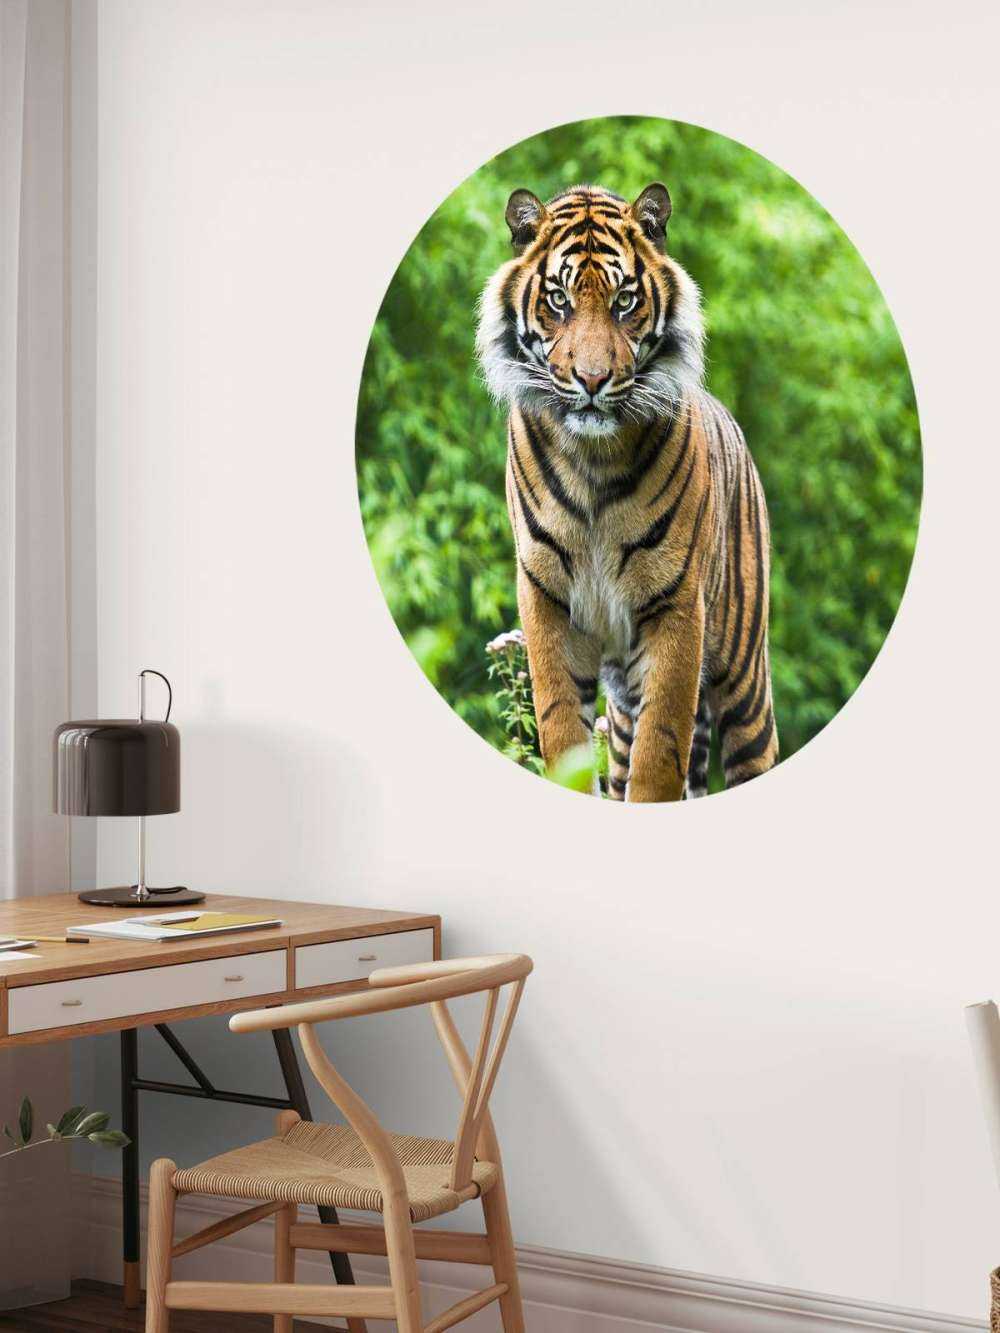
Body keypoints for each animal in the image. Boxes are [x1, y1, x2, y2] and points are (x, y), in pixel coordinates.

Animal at [476, 181, 778, 801]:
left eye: (623, 301)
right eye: (559, 300)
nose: (591, 380)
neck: (593, 459)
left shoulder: (675, 608)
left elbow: (660, 756)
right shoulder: (547, 601)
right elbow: (562, 732)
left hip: (745, 680)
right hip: (619, 706)